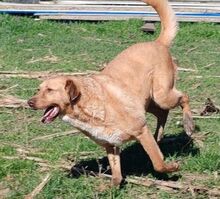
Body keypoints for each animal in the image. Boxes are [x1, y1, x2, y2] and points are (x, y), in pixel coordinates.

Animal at [27, 0, 194, 186]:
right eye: (38, 89)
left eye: (50, 90)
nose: (29, 102)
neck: (88, 107)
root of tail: (157, 42)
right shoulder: (111, 145)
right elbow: (116, 175)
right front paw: (110, 187)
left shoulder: (141, 131)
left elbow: (157, 163)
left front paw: (172, 168)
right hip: (148, 102)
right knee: (162, 113)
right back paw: (159, 135)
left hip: (162, 95)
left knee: (184, 97)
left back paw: (188, 125)